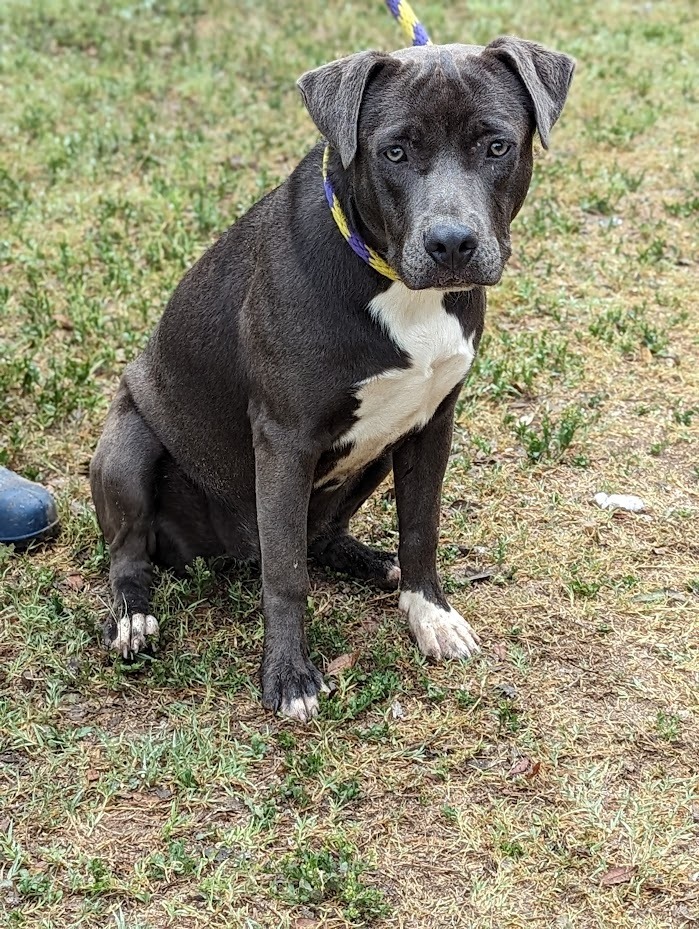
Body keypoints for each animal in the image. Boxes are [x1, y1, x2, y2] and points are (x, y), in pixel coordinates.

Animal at [91, 36, 576, 720]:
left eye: (497, 146)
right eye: (394, 151)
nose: (452, 243)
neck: (398, 286)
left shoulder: (432, 422)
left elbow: (420, 528)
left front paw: (429, 613)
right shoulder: (285, 440)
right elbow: (286, 574)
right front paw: (289, 676)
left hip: (374, 451)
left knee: (321, 536)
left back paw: (371, 563)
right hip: (128, 442)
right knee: (132, 554)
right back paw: (134, 618)